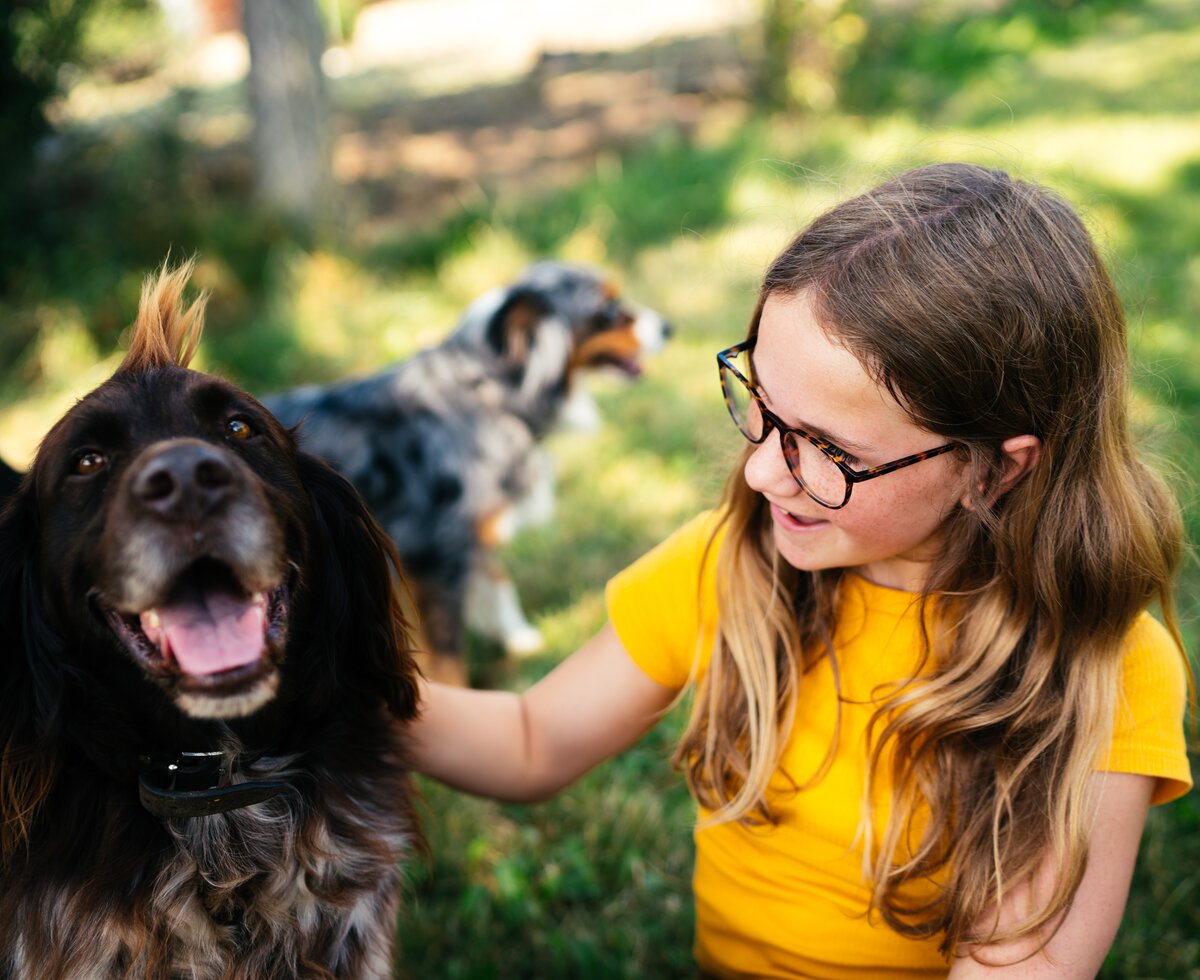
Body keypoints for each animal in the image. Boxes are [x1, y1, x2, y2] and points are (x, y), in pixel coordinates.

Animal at [264, 261, 672, 686]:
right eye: (607, 307)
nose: (668, 327)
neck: (490, 390)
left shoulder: (473, 531)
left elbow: (497, 580)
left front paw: (520, 637)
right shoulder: (435, 556)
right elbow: (448, 656)